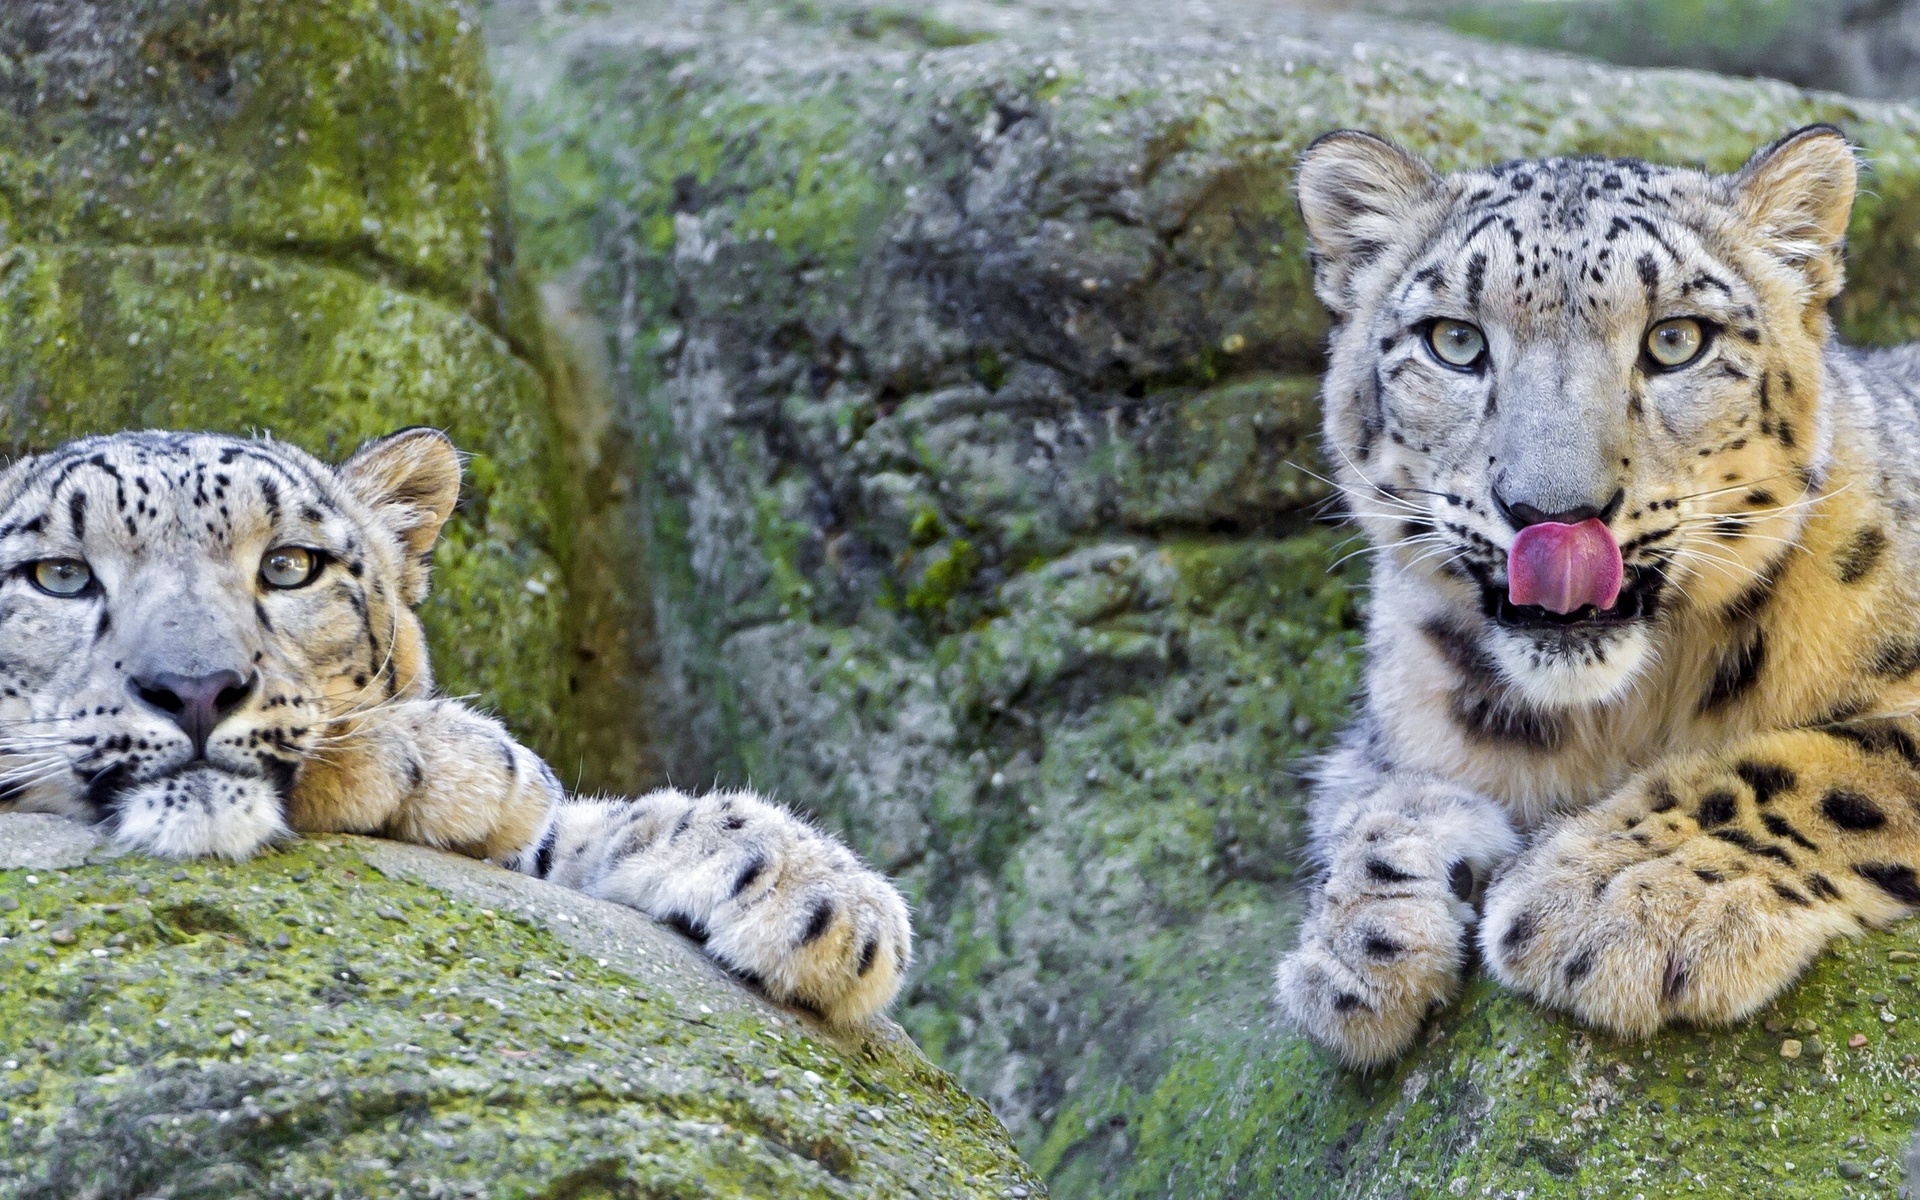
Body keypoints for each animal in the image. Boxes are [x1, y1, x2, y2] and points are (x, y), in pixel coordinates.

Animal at [1274, 126, 1920, 1067]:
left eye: (1677, 339)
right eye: (1455, 341)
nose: (1554, 514)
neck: (1612, 720)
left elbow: (1822, 767)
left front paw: (1617, 895)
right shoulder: (1390, 730)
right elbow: (1374, 800)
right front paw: (1359, 947)